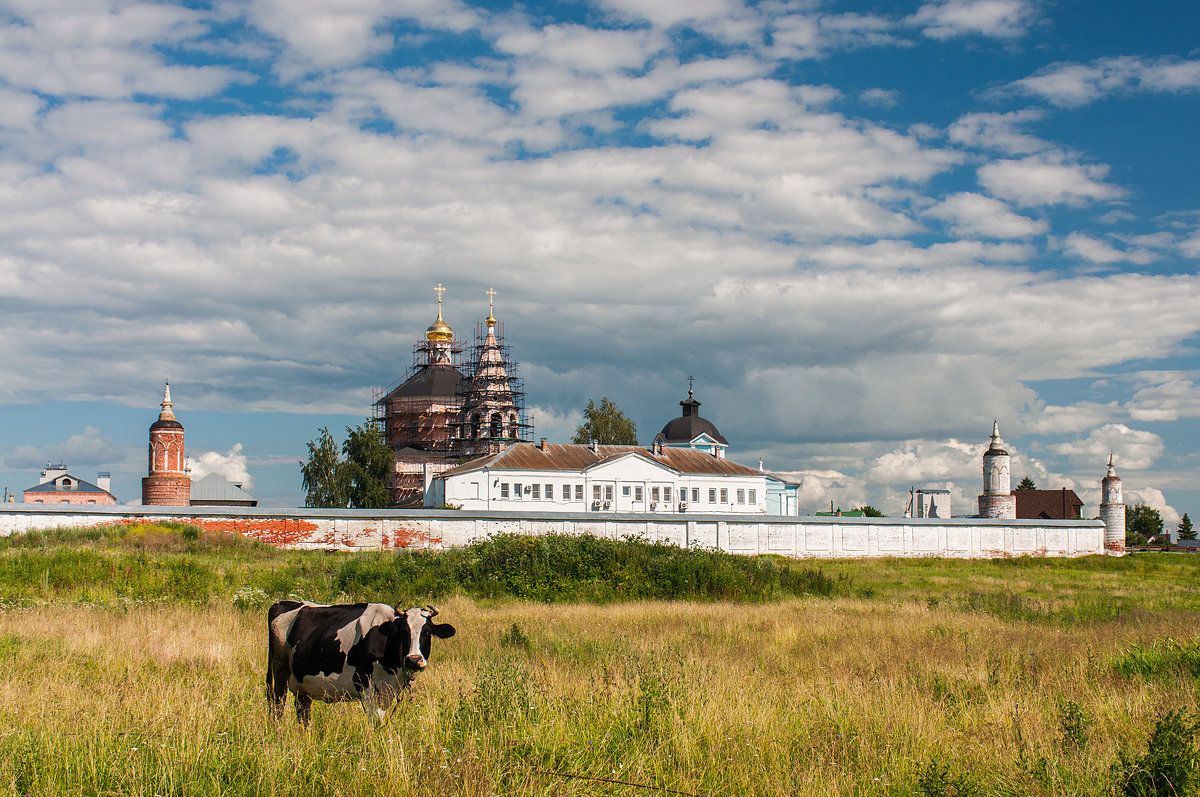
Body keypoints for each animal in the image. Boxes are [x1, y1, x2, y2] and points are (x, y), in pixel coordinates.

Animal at [267, 600, 453, 724]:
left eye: (427, 632)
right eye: (403, 632)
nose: (414, 660)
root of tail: (283, 603)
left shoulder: (389, 689)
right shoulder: (364, 683)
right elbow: (374, 719)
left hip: (302, 684)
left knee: (303, 714)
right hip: (279, 671)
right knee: (278, 706)